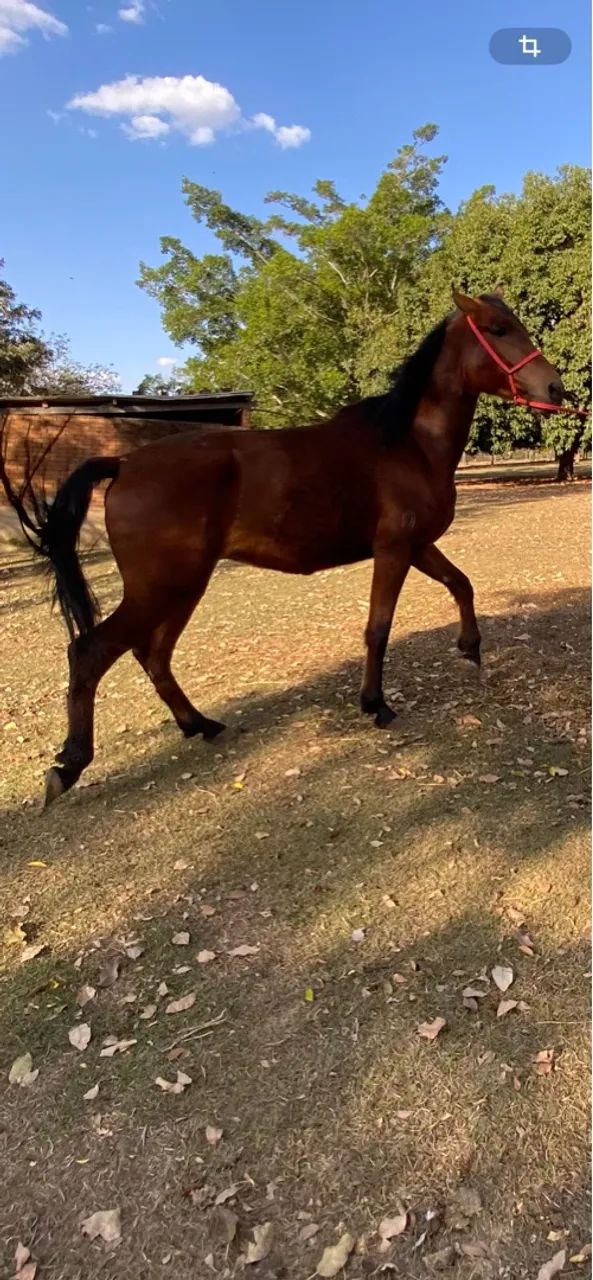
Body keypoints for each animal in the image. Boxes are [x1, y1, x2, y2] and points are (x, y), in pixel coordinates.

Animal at [0, 288, 569, 807]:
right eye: (497, 328)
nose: (556, 387)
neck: (407, 444)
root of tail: (124, 464)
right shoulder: (394, 549)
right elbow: (379, 628)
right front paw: (375, 703)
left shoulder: (419, 546)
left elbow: (461, 583)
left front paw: (470, 647)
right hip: (162, 587)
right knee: (92, 652)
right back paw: (69, 766)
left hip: (182, 587)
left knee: (152, 653)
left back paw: (200, 724)